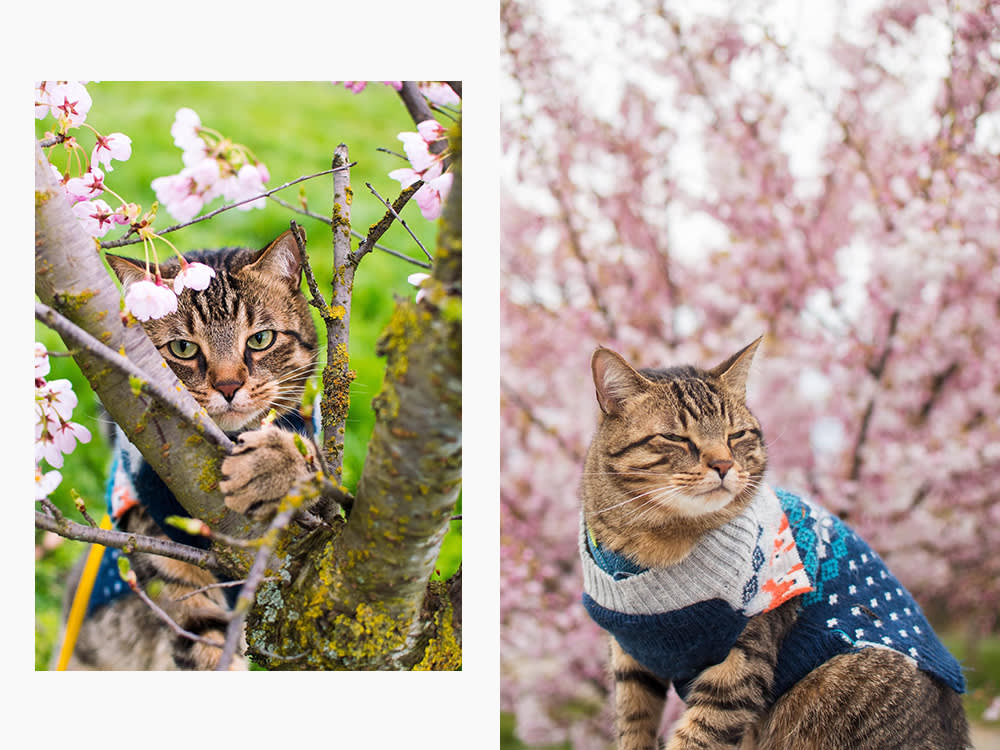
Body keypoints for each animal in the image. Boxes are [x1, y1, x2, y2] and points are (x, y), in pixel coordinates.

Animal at [58, 229, 322, 668]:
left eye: (261, 339)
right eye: (183, 348)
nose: (229, 386)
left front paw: (271, 463)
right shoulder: (163, 553)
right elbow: (208, 647)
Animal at [580, 340, 968, 750]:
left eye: (736, 435)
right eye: (675, 438)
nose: (723, 465)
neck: (651, 547)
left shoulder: (742, 659)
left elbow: (700, 735)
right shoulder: (630, 659)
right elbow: (633, 725)